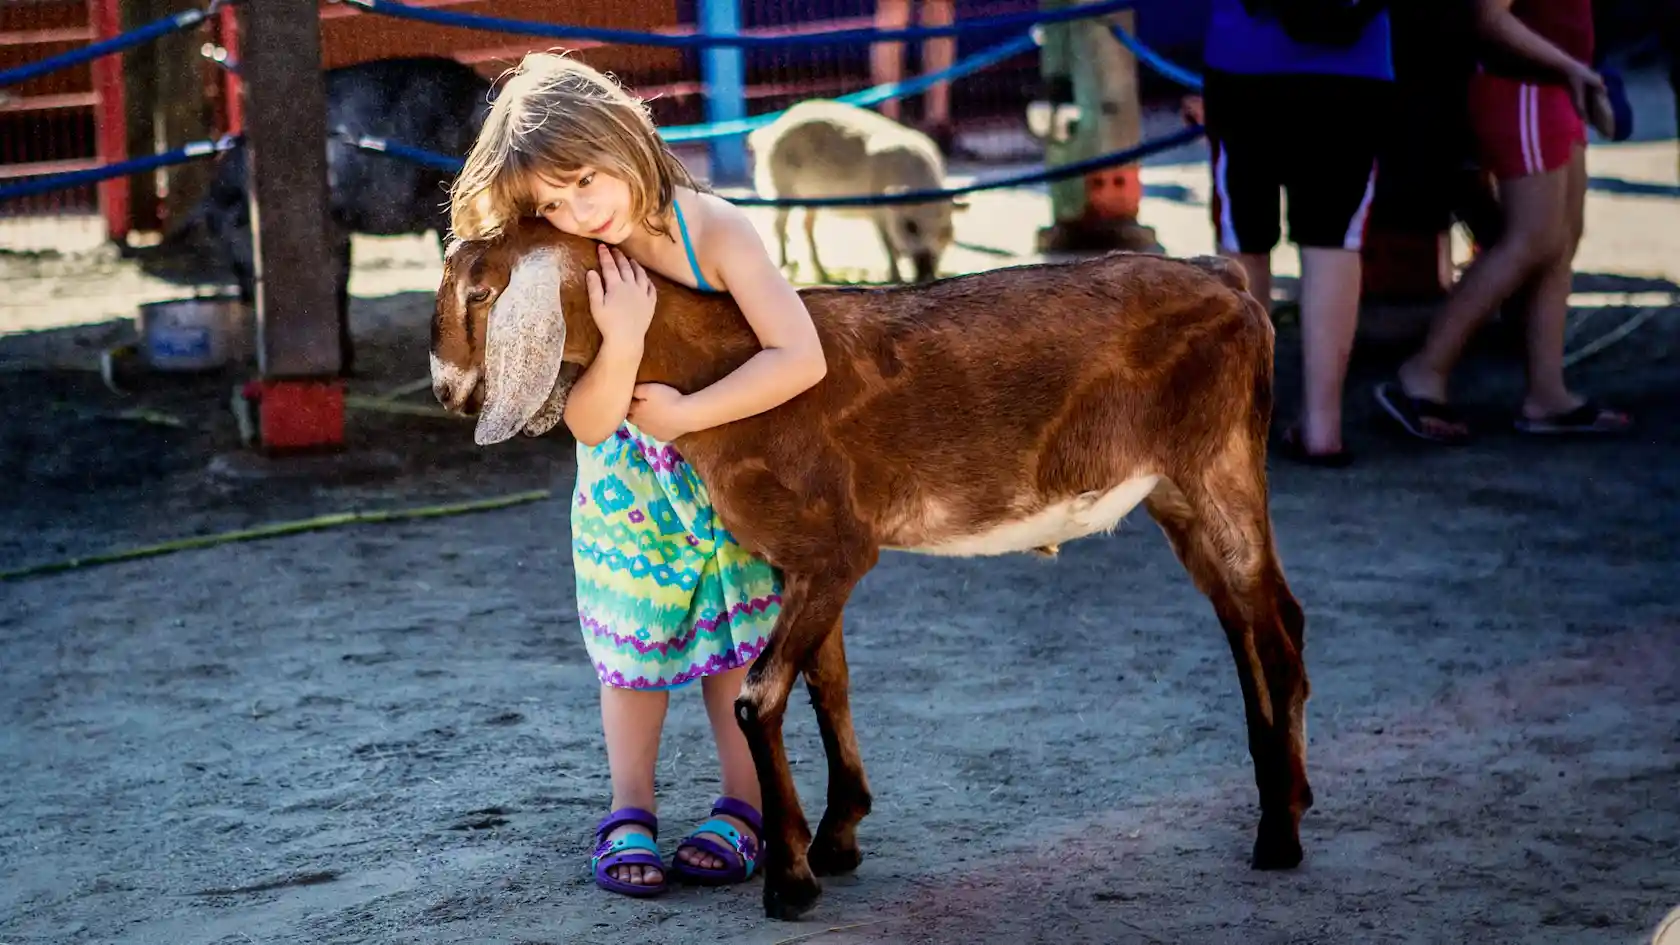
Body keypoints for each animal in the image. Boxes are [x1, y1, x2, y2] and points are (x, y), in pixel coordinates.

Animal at [423, 218, 1310, 914]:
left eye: (480, 291)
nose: (445, 390)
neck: (725, 365)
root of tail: (1225, 276)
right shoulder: (805, 563)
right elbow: (828, 684)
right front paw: (838, 836)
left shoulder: (836, 548)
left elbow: (758, 696)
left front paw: (792, 878)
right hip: (1176, 492)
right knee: (1254, 619)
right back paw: (1289, 790)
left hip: (1218, 464)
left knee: (1272, 628)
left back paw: (1279, 834)